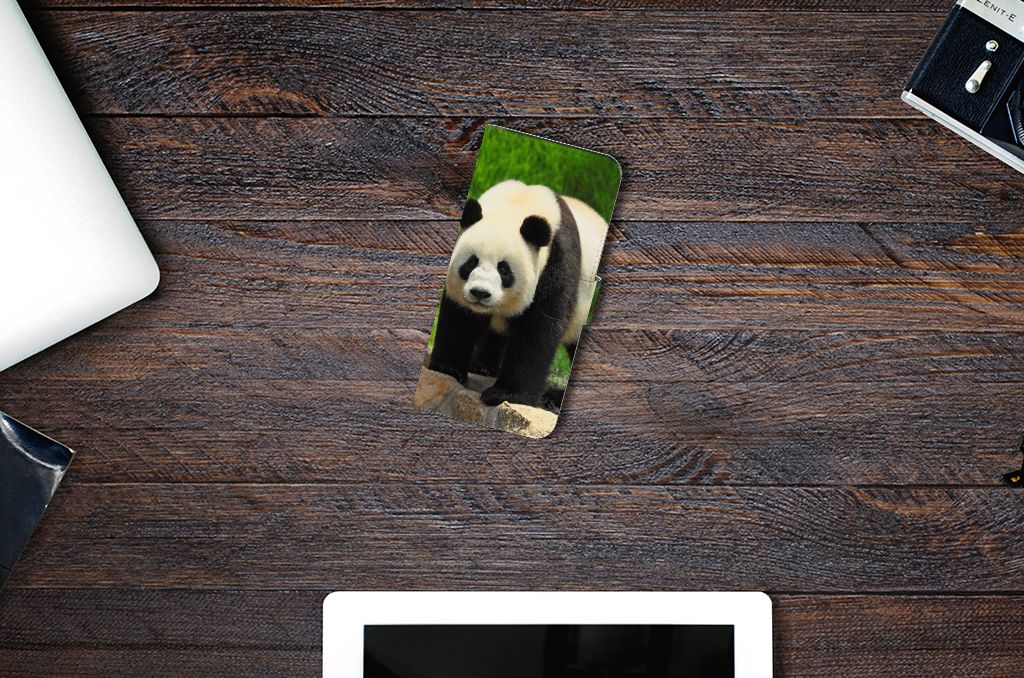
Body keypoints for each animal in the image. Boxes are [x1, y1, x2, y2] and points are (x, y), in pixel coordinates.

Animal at [428, 180, 607, 408]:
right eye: (471, 262)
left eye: (504, 269)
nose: (480, 293)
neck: (517, 204)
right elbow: (460, 317)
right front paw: (448, 367)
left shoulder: (557, 262)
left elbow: (537, 330)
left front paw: (505, 394)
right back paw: (483, 365)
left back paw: (554, 397)